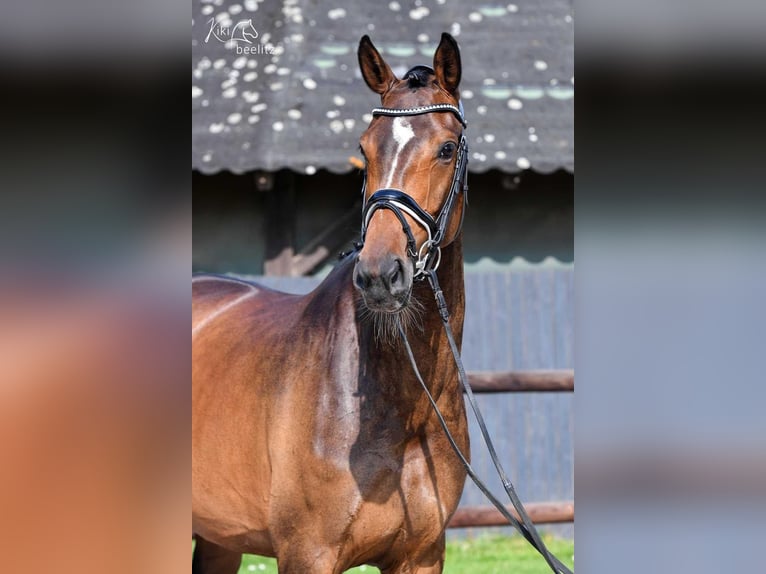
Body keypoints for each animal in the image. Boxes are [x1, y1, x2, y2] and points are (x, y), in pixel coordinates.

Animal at [192, 33, 468, 572]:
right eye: (363, 148)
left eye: (446, 149)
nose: (381, 274)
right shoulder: (308, 554)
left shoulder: (422, 555)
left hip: (219, 540)